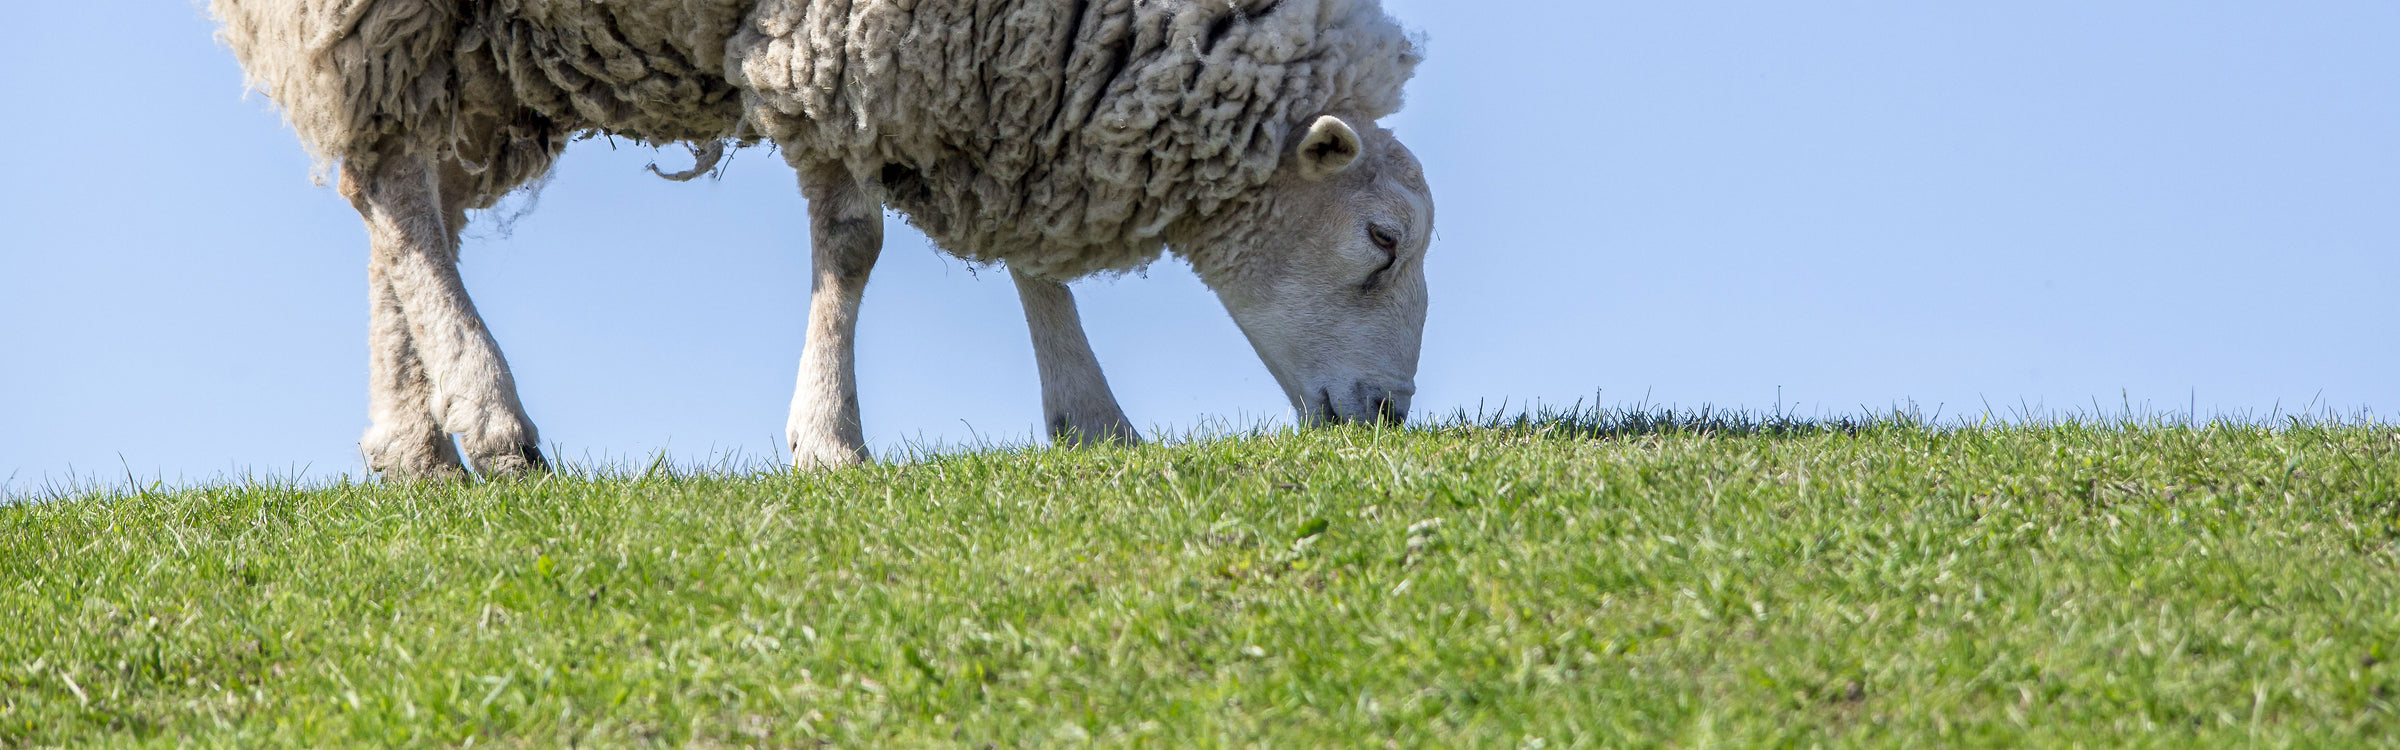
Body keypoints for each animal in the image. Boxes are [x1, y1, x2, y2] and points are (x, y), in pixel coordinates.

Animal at [211, 0, 1420, 478]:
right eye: (1384, 240)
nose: (1389, 416)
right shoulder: (848, 45)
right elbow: (850, 245)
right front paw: (829, 436)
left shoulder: (992, 86)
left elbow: (1029, 260)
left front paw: (1093, 417)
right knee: (393, 184)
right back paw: (490, 418)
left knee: (403, 194)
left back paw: (414, 443)